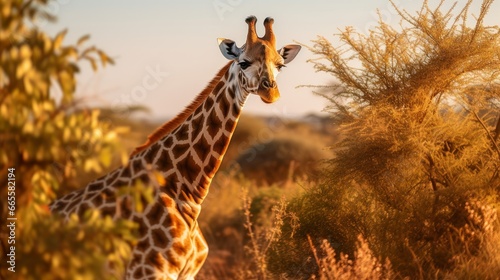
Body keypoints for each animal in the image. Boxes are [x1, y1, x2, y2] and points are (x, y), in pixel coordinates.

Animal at [49, 16, 300, 278]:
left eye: (280, 65)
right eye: (243, 62)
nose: (271, 92)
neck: (188, 192)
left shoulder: (186, 273)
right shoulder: (147, 272)